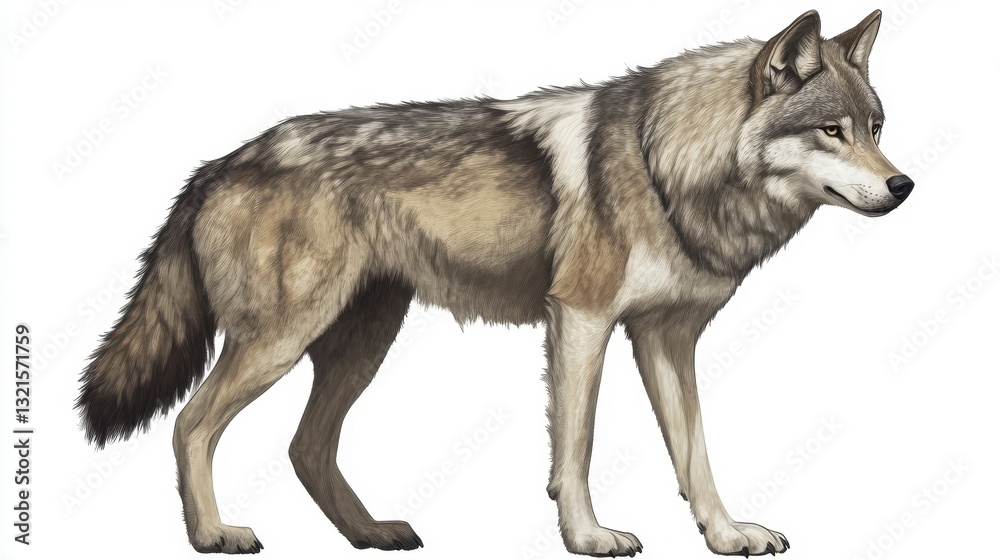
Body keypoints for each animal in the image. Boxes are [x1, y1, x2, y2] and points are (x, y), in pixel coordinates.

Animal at [77, 9, 911, 557]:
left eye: (876, 128)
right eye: (832, 131)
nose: (903, 186)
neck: (667, 163)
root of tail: (217, 163)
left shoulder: (666, 340)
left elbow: (696, 454)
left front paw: (728, 533)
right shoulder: (580, 320)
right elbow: (577, 447)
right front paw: (588, 536)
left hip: (358, 346)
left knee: (305, 447)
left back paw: (370, 533)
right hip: (281, 342)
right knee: (191, 424)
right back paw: (213, 533)